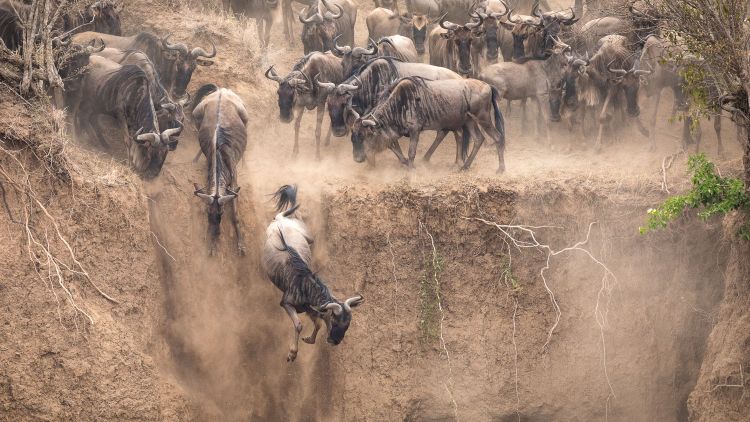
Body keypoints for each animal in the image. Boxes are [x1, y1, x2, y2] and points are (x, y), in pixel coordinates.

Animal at [262, 185, 366, 362]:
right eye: (335, 321)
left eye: (347, 324)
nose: (335, 341)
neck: (304, 284)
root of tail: (281, 219)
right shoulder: (286, 304)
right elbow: (299, 325)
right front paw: (292, 353)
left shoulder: (308, 307)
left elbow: (318, 321)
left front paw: (309, 339)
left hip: (309, 237)